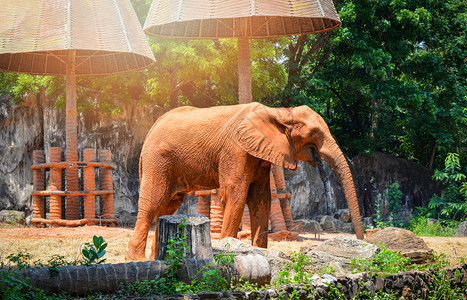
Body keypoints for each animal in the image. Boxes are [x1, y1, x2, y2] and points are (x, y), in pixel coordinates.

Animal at [127, 102, 366, 262]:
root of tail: (151, 129)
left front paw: (259, 251)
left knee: (167, 206)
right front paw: (227, 249)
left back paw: (157, 259)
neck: (278, 111)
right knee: (153, 204)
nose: (363, 244)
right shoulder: (236, 150)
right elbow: (236, 194)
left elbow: (261, 198)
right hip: (158, 160)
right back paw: (136, 260)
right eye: (315, 134)